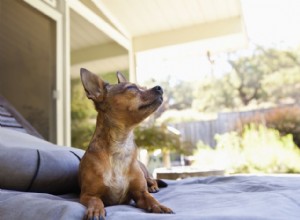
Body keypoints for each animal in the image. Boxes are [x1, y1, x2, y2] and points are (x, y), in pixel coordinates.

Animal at [79, 68, 173, 219]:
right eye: (131, 88)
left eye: (143, 87)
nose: (159, 87)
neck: (121, 145)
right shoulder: (88, 195)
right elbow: (96, 200)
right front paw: (96, 210)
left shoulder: (140, 194)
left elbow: (150, 199)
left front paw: (159, 206)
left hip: (145, 174)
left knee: (152, 180)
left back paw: (153, 187)